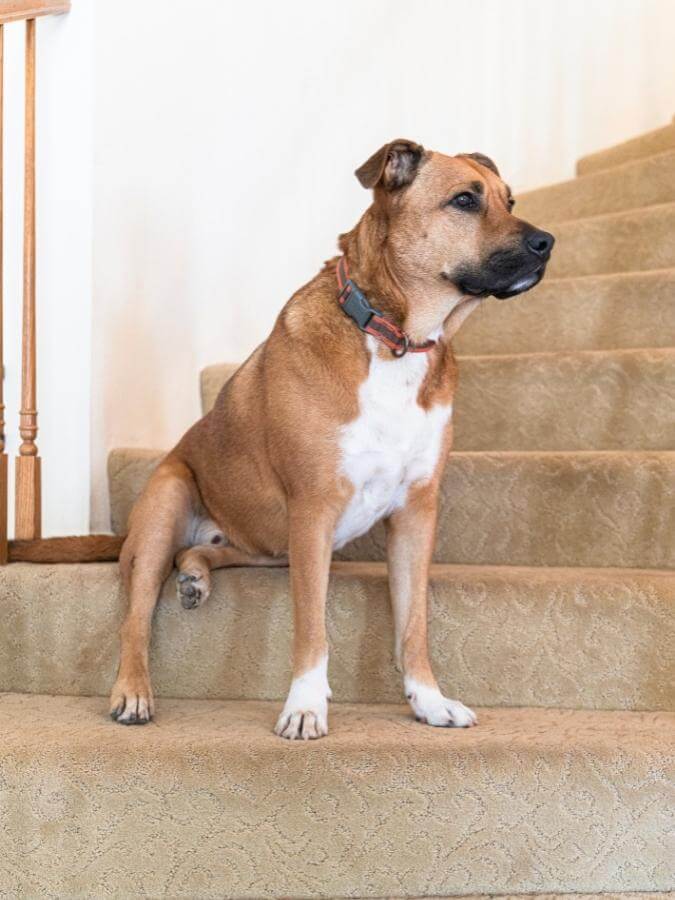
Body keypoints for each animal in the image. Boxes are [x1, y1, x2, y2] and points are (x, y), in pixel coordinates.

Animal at [111, 139, 556, 740]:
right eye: (465, 200)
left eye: (511, 201)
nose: (547, 242)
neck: (396, 338)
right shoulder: (315, 509)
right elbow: (312, 627)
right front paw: (304, 706)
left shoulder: (415, 514)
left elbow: (413, 625)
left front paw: (429, 700)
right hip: (169, 504)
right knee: (136, 616)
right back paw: (134, 690)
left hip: (273, 547)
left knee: (212, 552)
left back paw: (195, 573)